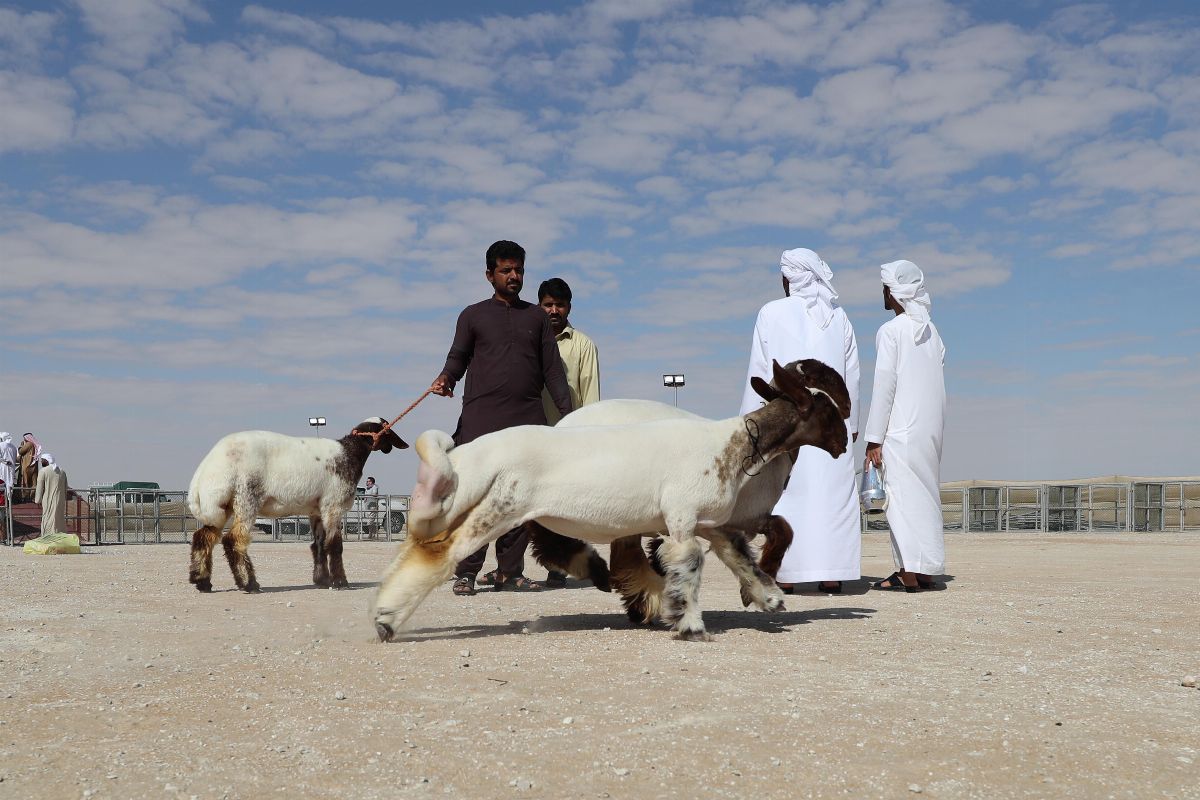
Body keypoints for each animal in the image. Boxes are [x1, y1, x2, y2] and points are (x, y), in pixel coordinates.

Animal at [187, 419, 408, 594]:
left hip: (220, 505)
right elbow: (335, 545)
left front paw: (322, 580)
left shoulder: (316, 510)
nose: (398, 445)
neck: (349, 453)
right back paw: (249, 584)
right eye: (387, 429)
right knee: (233, 540)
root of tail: (206, 469)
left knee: (203, 537)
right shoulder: (333, 505)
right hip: (246, 498)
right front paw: (339, 582)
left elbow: (319, 544)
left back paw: (202, 582)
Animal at [369, 362, 849, 642]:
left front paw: (769, 599)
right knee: (441, 556)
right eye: (827, 411)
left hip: (473, 505)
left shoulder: (709, 522)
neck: (733, 443)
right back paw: (387, 621)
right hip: (497, 510)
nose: (847, 442)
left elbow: (740, 559)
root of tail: (476, 454)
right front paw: (691, 625)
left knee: (421, 549)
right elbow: (690, 565)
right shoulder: (682, 518)